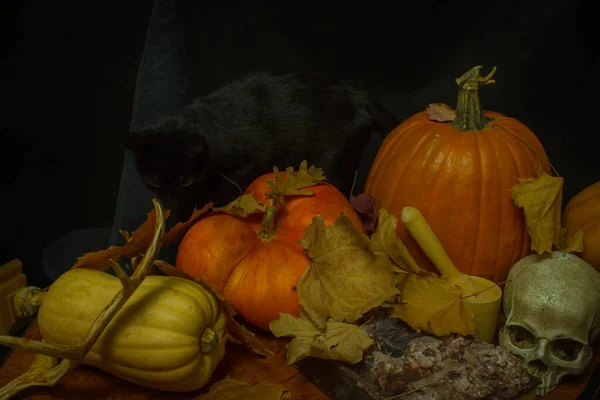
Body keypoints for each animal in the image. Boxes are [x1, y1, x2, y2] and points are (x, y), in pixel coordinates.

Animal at [125, 69, 400, 219]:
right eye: (154, 182)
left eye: (185, 181)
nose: (171, 200)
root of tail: (358, 94)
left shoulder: (251, 160)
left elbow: (225, 189)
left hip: (331, 163)